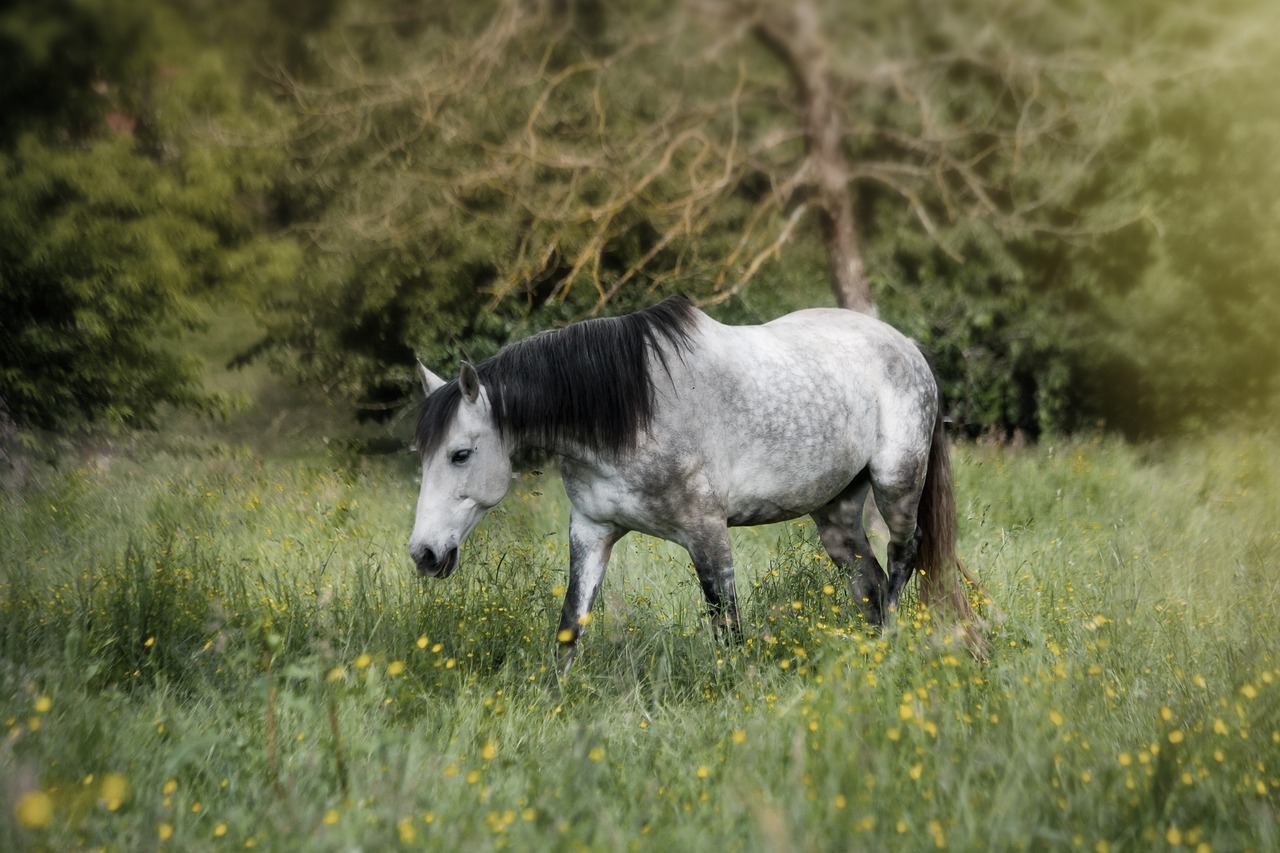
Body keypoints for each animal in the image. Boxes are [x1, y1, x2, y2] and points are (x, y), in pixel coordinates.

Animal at [409, 295, 977, 660]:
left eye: (460, 454)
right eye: (422, 454)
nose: (424, 554)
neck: (630, 412)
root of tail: (906, 344)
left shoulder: (707, 533)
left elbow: (727, 626)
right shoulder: (591, 532)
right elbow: (571, 626)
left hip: (897, 484)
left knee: (902, 560)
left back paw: (894, 645)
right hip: (835, 512)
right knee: (869, 583)